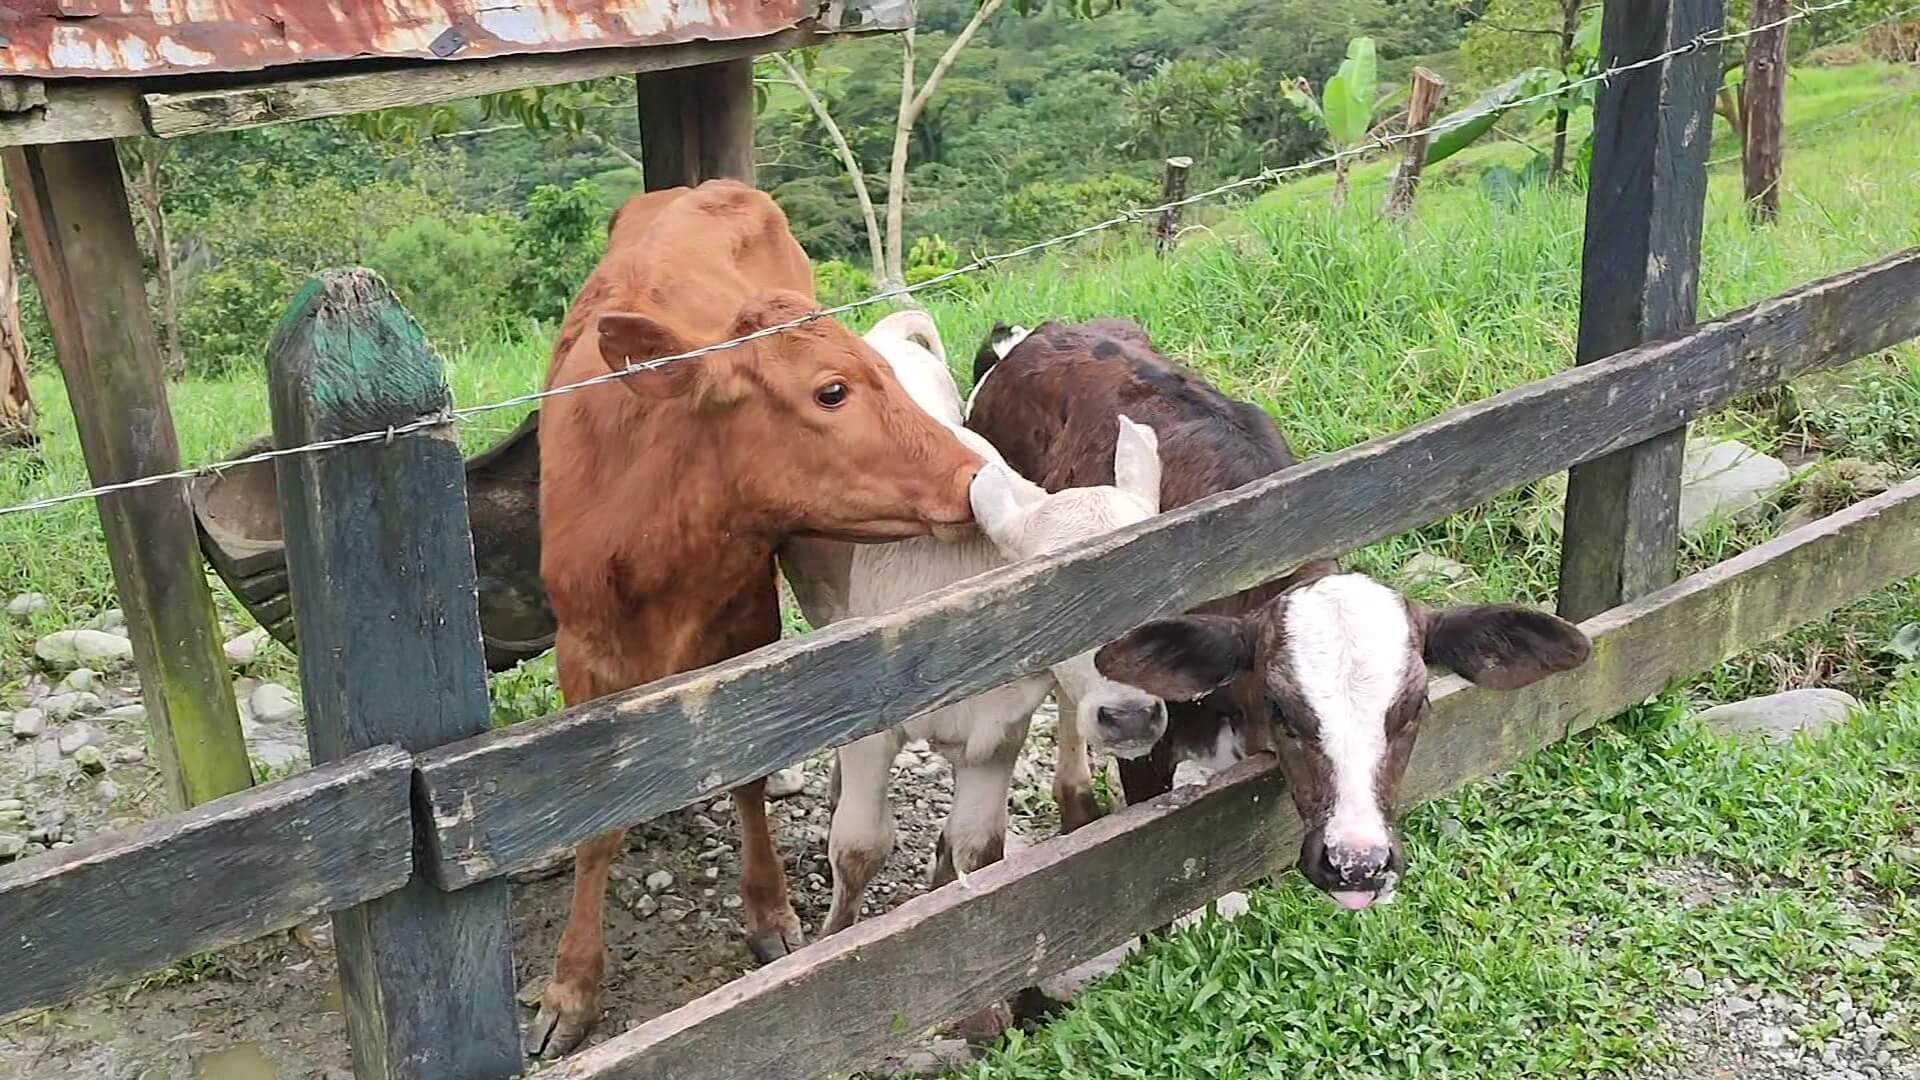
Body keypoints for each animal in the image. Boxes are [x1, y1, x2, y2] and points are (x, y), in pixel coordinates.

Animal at [533, 182, 983, 1053]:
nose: (972, 471)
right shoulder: (583, 658)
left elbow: (748, 771)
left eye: (885, 372)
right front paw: (570, 987)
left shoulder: (747, 626)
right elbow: (596, 828)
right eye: (831, 391)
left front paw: (769, 910)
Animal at [775, 307, 1159, 930]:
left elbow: (978, 848)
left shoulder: (999, 732)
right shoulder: (872, 729)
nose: (1130, 717)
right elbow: (859, 847)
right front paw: (831, 936)